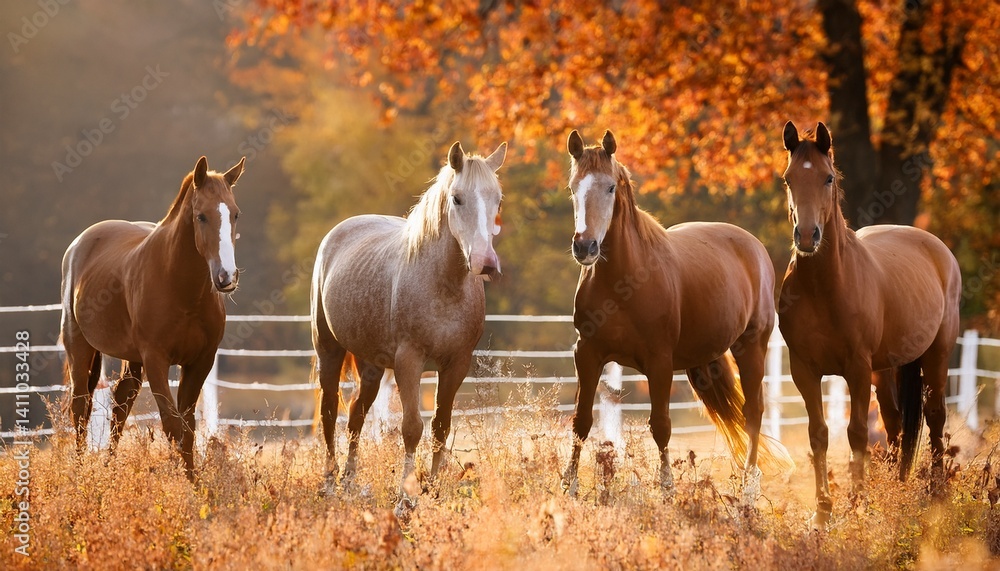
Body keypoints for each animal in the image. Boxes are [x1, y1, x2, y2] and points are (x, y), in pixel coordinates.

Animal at [60, 156, 245, 479]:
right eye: (201, 216)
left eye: (234, 214)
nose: (226, 277)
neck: (181, 288)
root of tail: (79, 243)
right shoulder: (156, 359)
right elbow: (173, 425)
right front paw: (189, 485)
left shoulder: (200, 361)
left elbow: (188, 427)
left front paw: (196, 483)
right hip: (80, 348)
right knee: (80, 408)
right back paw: (81, 474)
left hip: (132, 360)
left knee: (121, 404)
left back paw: (109, 468)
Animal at [311, 141, 506, 515]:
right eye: (457, 198)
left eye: (498, 199)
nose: (485, 263)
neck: (444, 286)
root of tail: (336, 234)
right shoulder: (409, 362)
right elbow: (412, 428)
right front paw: (406, 497)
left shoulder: (456, 364)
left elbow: (441, 427)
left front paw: (433, 490)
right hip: (329, 349)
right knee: (329, 412)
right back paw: (329, 483)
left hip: (371, 367)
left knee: (356, 414)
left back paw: (350, 481)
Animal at [561, 130, 792, 503]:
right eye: (573, 188)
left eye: (610, 187)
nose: (585, 247)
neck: (623, 282)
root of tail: (753, 246)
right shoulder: (588, 354)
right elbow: (581, 421)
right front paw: (569, 487)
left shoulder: (659, 362)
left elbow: (661, 426)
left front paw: (667, 491)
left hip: (752, 347)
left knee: (753, 413)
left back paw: (748, 489)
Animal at [778, 121, 961, 528]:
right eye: (788, 179)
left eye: (828, 178)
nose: (807, 236)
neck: (826, 287)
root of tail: (937, 248)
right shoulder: (804, 370)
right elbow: (818, 434)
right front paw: (823, 511)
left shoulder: (857, 369)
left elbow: (857, 433)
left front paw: (857, 504)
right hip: (886, 368)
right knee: (894, 424)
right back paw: (897, 488)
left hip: (935, 356)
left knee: (935, 417)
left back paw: (937, 493)